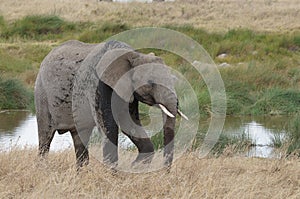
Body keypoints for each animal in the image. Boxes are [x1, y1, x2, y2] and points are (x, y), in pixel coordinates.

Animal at [34, 39, 186, 168]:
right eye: (150, 83)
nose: (166, 171)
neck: (131, 55)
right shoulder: (98, 85)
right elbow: (109, 128)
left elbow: (129, 124)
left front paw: (133, 167)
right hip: (42, 93)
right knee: (45, 137)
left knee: (80, 137)